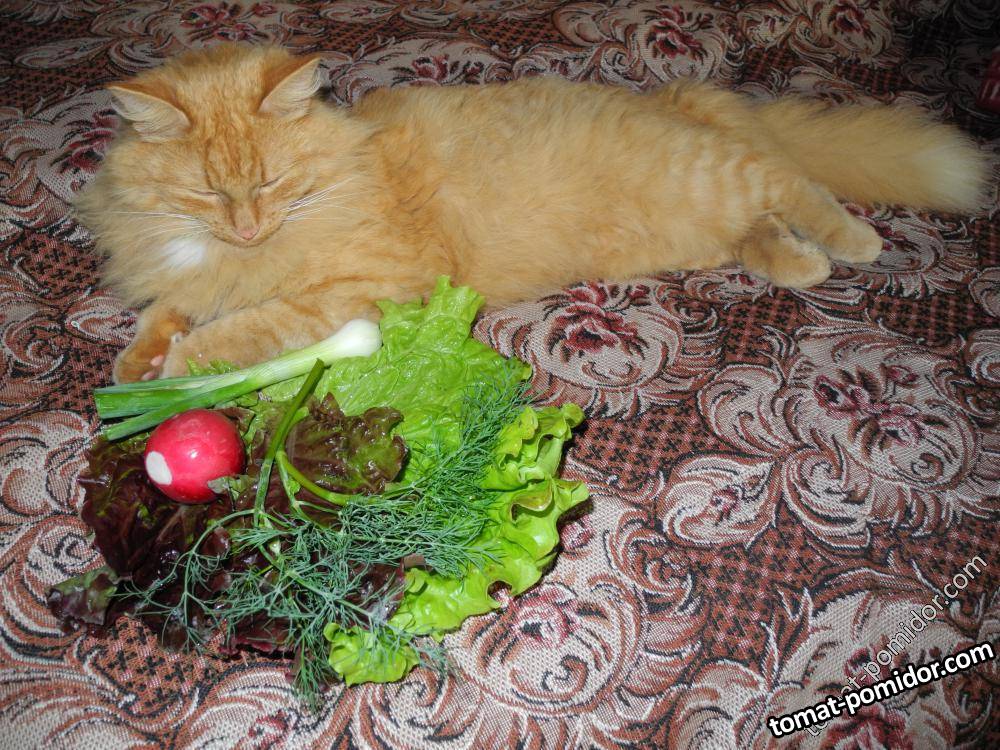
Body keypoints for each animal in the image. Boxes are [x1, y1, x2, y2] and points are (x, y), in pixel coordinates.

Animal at [74, 43, 987, 383]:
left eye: (270, 184)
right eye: (207, 194)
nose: (245, 227)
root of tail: (674, 97)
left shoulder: (365, 286)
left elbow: (249, 326)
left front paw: (184, 362)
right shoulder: (192, 266)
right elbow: (166, 305)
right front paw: (138, 359)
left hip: (718, 177)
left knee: (792, 180)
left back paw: (850, 242)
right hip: (699, 220)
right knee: (763, 221)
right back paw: (802, 262)